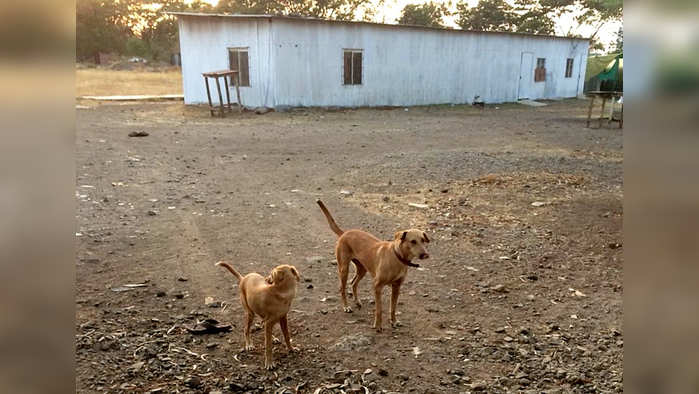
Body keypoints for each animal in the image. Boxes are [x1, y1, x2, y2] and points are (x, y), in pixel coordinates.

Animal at [316, 200, 426, 332]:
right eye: (413, 241)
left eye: (423, 240)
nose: (425, 254)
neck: (397, 257)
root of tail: (345, 233)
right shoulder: (377, 286)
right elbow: (379, 309)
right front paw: (377, 326)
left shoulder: (396, 287)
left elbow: (393, 307)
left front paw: (394, 321)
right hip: (343, 268)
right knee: (342, 288)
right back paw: (346, 307)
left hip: (362, 269)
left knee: (353, 283)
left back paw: (357, 301)